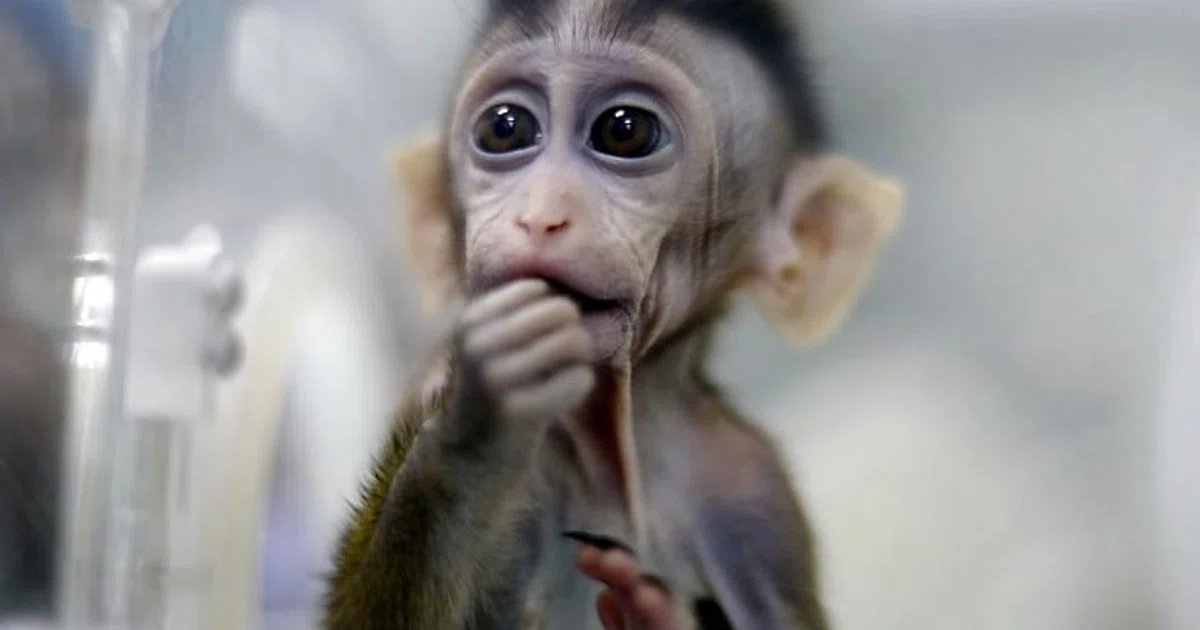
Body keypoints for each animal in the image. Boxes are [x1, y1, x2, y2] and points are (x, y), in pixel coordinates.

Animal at [323, 0, 902, 628]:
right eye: (505, 128)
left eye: (625, 131)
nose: (540, 215)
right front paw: (473, 429)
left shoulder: (755, 494)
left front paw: (655, 613)